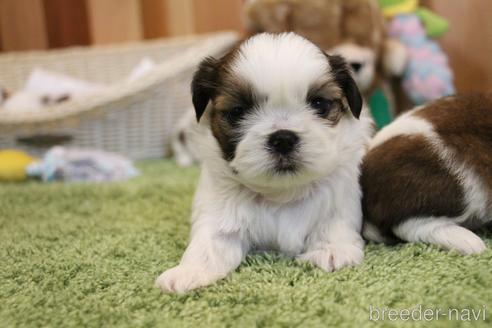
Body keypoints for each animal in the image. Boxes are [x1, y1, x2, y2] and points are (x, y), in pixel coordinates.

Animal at [156, 33, 370, 294]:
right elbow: (209, 244)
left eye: (319, 103)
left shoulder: (338, 201)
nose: (283, 139)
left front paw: (332, 250)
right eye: (238, 111)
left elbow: (333, 223)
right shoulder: (219, 215)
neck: (280, 194)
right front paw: (189, 271)